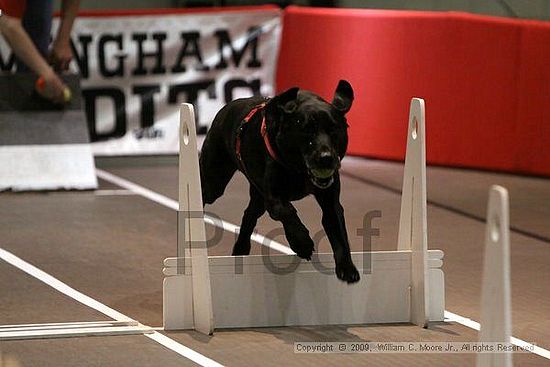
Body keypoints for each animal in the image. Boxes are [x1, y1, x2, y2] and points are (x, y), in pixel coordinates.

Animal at [201, 80, 360, 284]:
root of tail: (225, 108)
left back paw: (241, 250)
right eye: (306, 131)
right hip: (215, 181)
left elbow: (339, 232)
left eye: (334, 130)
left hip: (257, 197)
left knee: (249, 215)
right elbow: (287, 211)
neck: (299, 171)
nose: (326, 158)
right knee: (205, 193)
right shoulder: (273, 197)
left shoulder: (330, 201)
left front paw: (347, 268)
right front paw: (302, 243)